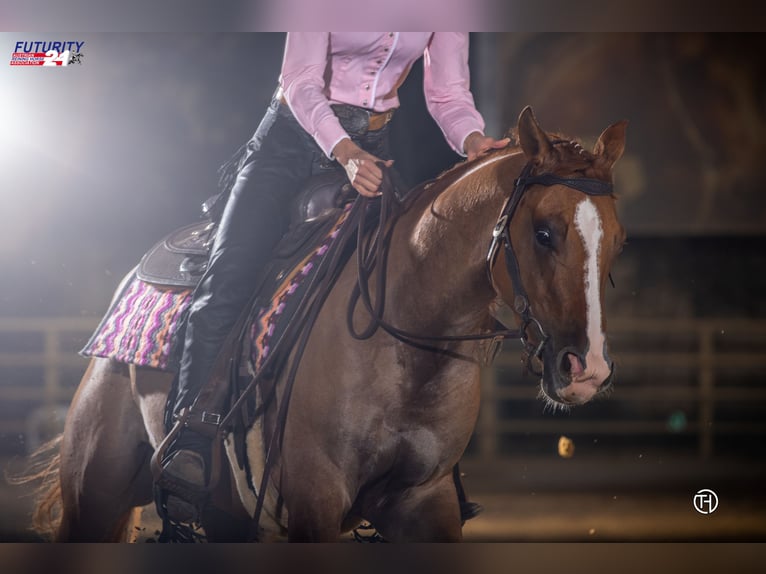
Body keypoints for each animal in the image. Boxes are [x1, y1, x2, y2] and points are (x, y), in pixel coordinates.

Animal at [30, 108, 632, 544]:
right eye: (544, 232)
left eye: (619, 241)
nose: (587, 369)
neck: (403, 342)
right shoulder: (313, 501)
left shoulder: (426, 501)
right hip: (94, 495)